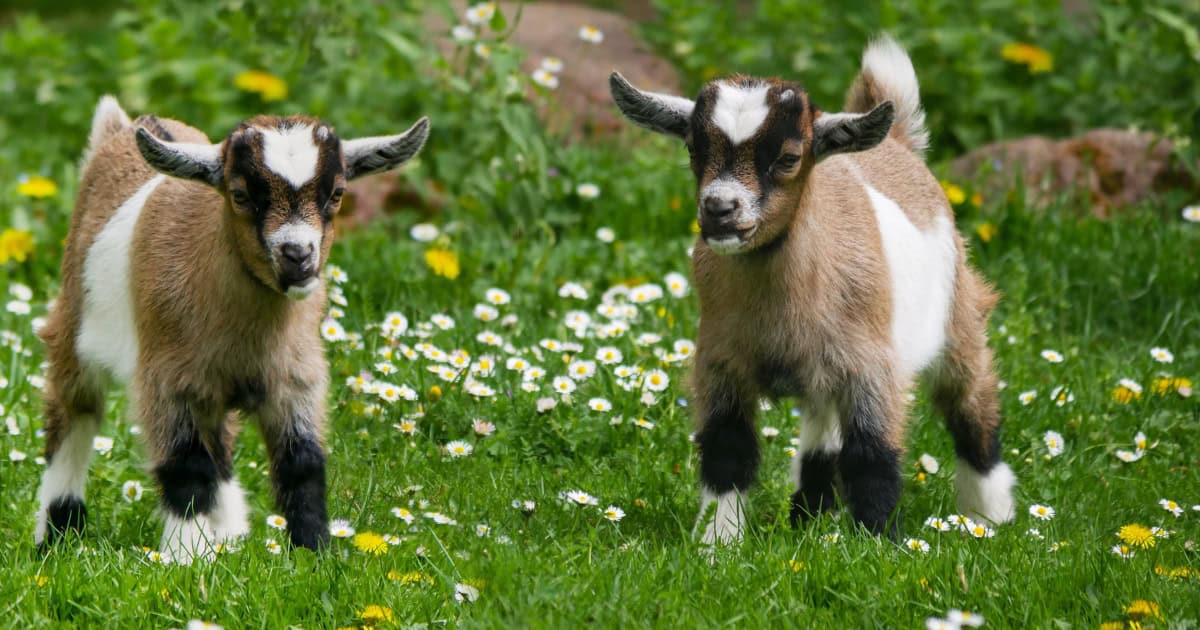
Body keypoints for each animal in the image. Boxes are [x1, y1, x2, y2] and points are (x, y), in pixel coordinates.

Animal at [34, 96, 429, 562]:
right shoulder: (168, 381)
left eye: (337, 194)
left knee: (219, 444)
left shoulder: (296, 377)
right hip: (74, 329)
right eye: (240, 195)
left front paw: (313, 553)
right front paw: (184, 558)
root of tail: (122, 128)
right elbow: (185, 466)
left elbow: (303, 463)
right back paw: (56, 535)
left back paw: (229, 535)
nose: (298, 256)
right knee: (73, 414)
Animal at [609, 35, 1014, 544]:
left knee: (971, 407)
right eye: (692, 149)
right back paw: (809, 516)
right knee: (822, 435)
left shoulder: (872, 368)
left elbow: (872, 456)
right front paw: (717, 543)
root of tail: (898, 144)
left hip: (958, 318)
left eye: (787, 158)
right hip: (822, 373)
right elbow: (728, 451)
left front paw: (880, 543)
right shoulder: (721, 362)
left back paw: (989, 518)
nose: (719, 209)